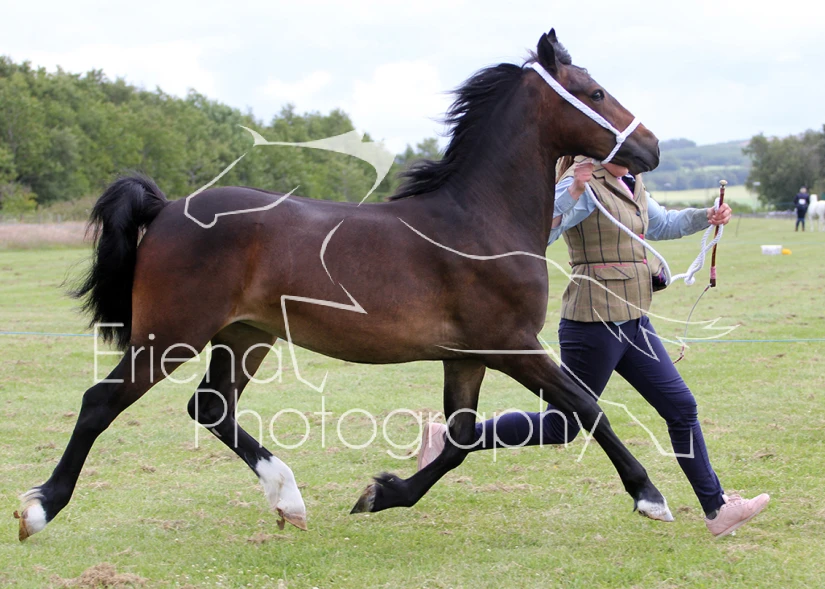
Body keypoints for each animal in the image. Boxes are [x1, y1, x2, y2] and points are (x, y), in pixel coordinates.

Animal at [15, 29, 668, 542]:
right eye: (595, 93)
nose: (652, 147)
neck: (480, 221)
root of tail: (169, 207)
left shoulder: (467, 355)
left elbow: (460, 438)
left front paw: (381, 494)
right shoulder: (512, 345)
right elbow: (588, 408)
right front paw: (650, 497)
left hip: (245, 336)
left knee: (212, 406)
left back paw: (288, 498)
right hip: (170, 337)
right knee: (101, 402)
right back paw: (41, 508)